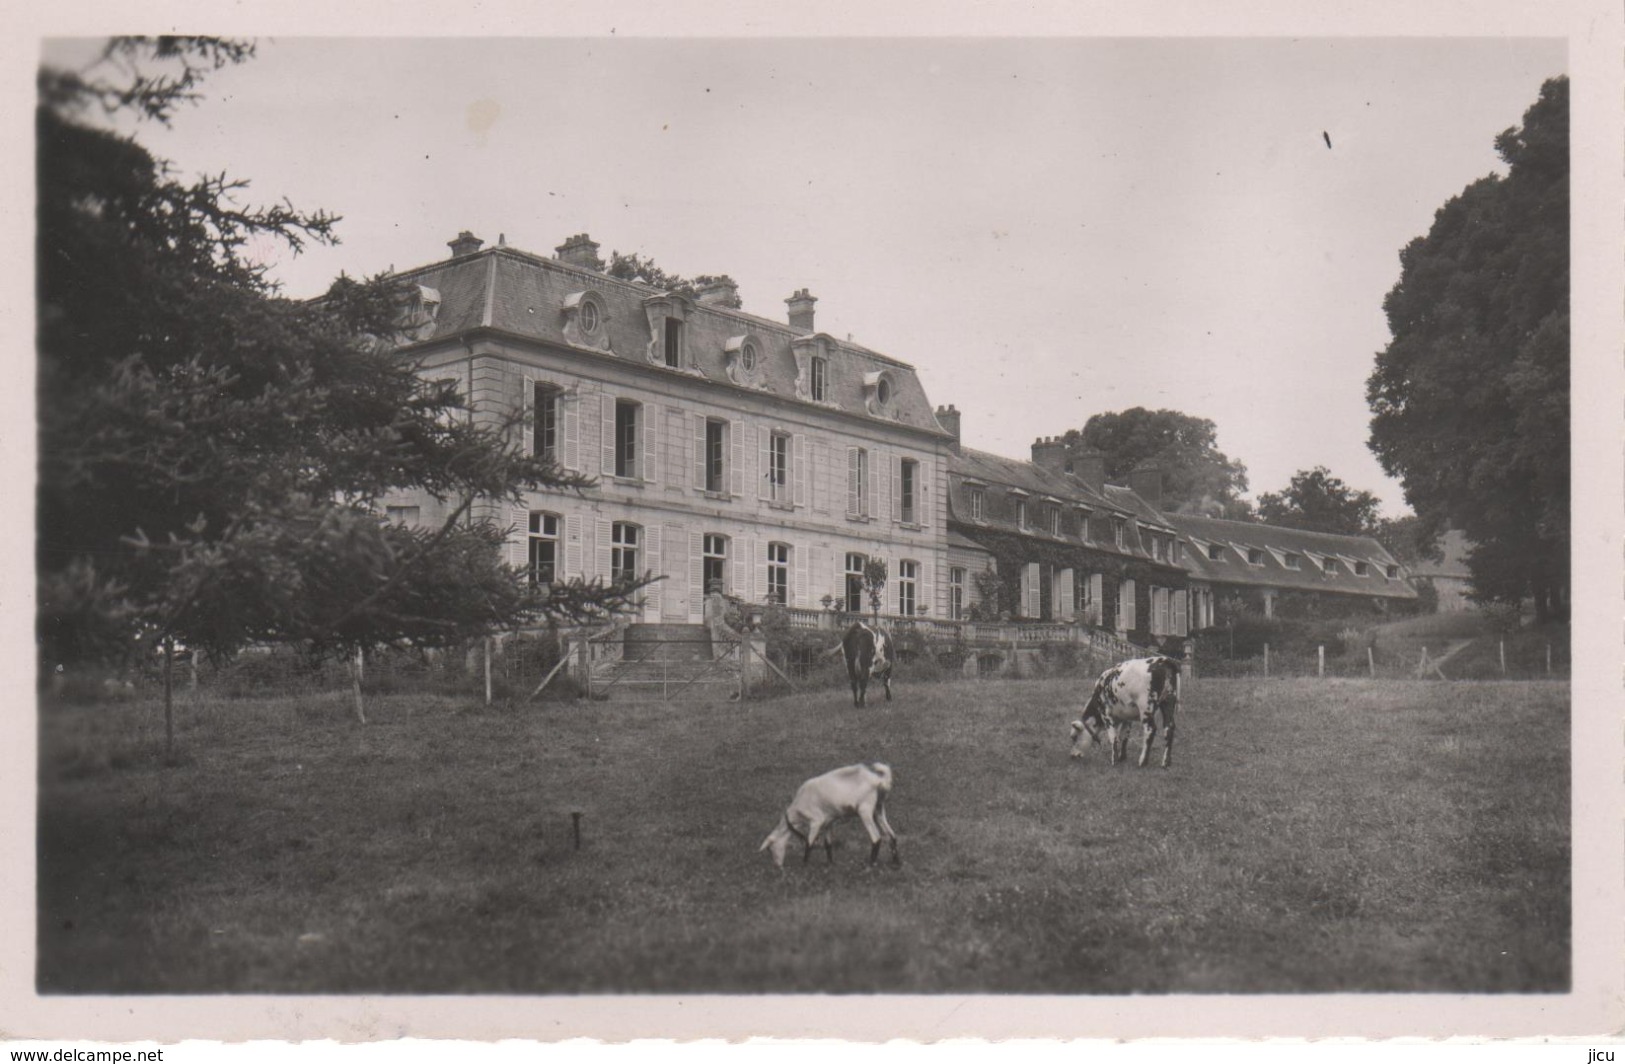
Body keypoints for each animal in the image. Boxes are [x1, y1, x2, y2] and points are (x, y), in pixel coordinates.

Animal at [760, 760, 903, 870]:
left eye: (770, 848)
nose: (777, 866)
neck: (797, 810)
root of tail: (879, 780)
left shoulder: (816, 821)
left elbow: (809, 843)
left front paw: (804, 865)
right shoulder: (828, 821)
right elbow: (827, 844)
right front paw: (830, 864)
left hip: (865, 810)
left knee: (876, 838)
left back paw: (870, 865)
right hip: (878, 808)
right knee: (891, 835)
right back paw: (896, 863)